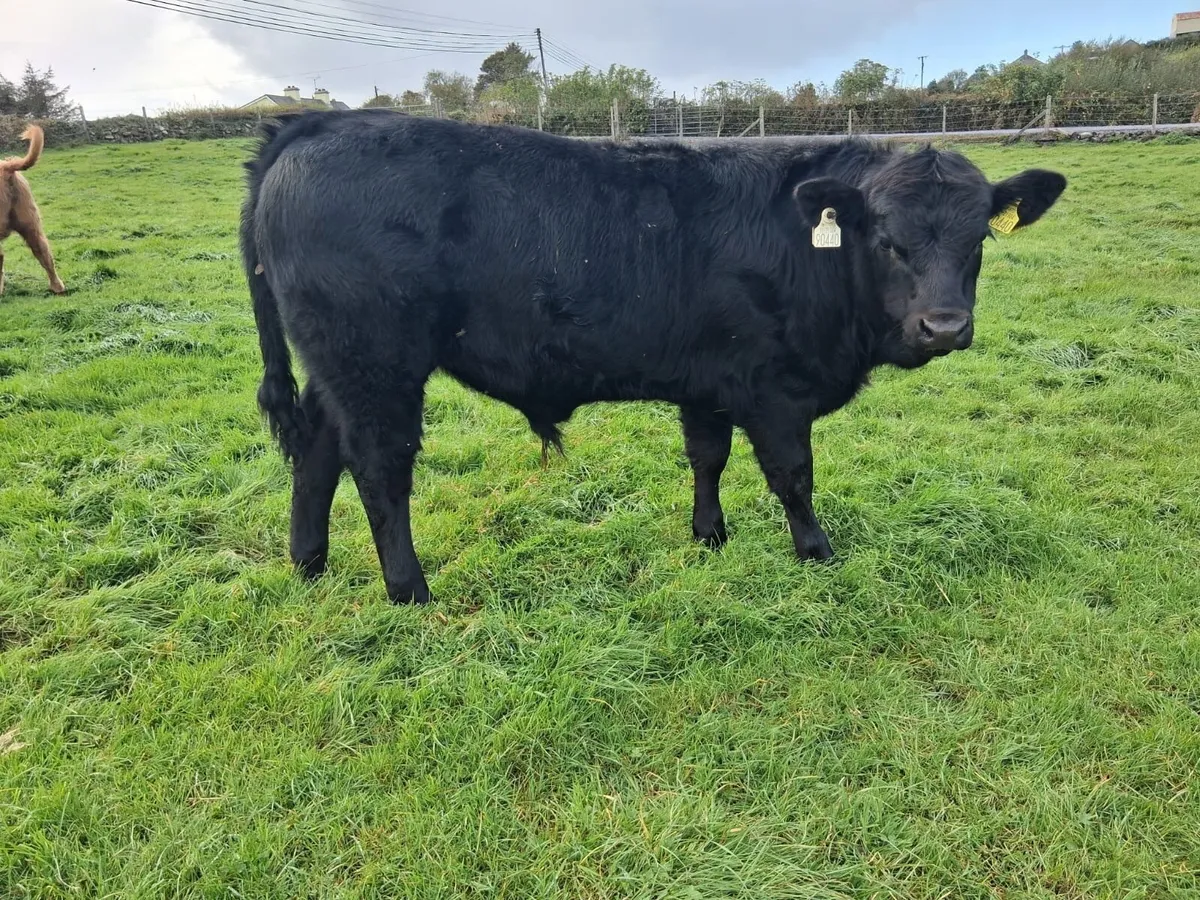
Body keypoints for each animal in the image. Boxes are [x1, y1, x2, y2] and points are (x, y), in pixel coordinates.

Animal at [240, 109, 1066, 604]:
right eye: (888, 240)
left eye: (978, 239)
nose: (944, 326)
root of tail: (318, 124)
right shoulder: (775, 390)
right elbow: (793, 476)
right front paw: (816, 551)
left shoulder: (710, 380)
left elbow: (707, 457)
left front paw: (709, 537)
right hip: (375, 364)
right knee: (379, 468)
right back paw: (409, 590)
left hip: (337, 366)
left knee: (317, 450)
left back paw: (308, 563)